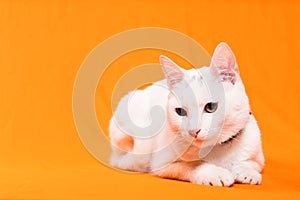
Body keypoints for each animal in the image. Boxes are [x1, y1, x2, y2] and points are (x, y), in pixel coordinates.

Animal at [109, 42, 264, 188]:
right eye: (180, 112)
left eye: (211, 107)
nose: (193, 131)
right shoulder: (162, 163)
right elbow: (192, 165)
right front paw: (214, 173)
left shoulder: (258, 159)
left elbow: (248, 163)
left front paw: (245, 171)